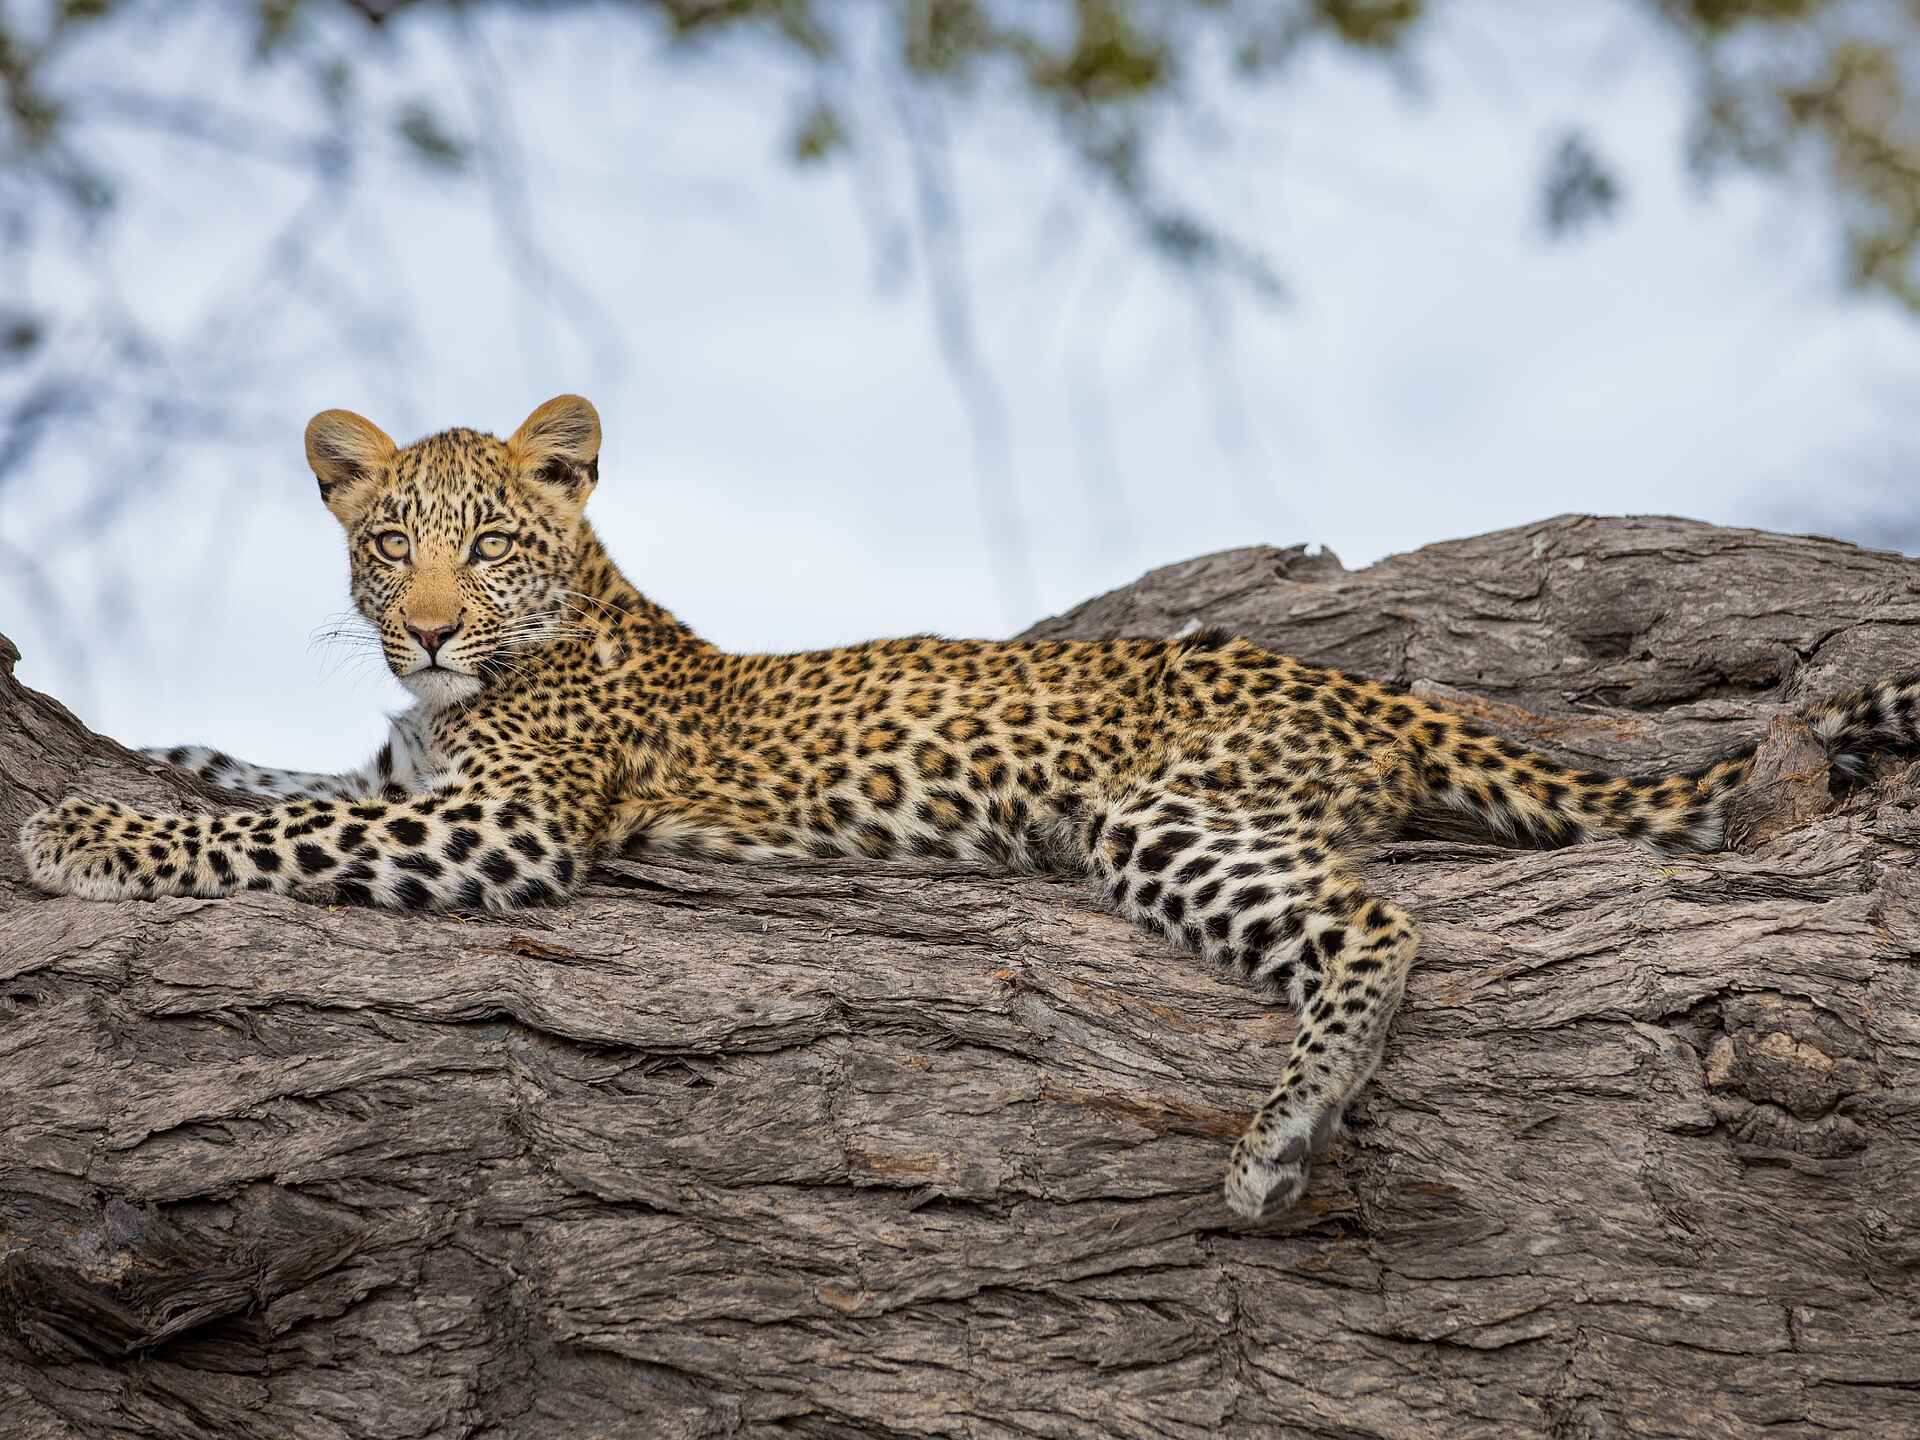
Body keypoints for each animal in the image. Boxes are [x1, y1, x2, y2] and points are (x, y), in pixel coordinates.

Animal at [20, 394, 1920, 1219]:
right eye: (384, 542)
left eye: (487, 545)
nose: (420, 626)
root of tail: (1374, 689)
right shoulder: (415, 778)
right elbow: (288, 782)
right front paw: (170, 754)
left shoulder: (509, 827)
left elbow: (277, 837)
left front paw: (89, 836)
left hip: (1160, 816)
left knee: (1377, 921)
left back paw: (1283, 1134)